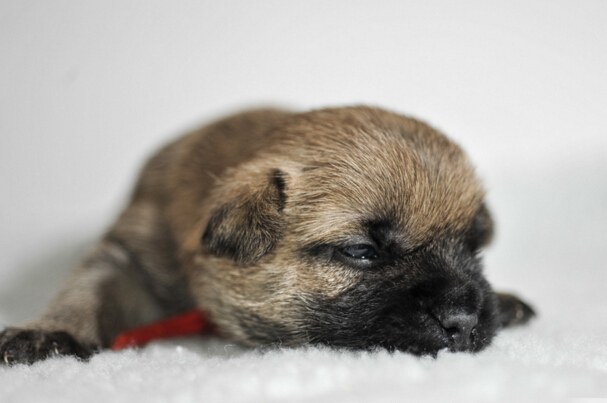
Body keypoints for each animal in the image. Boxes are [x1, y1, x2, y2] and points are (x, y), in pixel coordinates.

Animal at [0, 106, 534, 364]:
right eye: (361, 251)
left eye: (473, 248)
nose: (464, 321)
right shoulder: (131, 251)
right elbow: (88, 287)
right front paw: (50, 331)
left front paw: (503, 300)